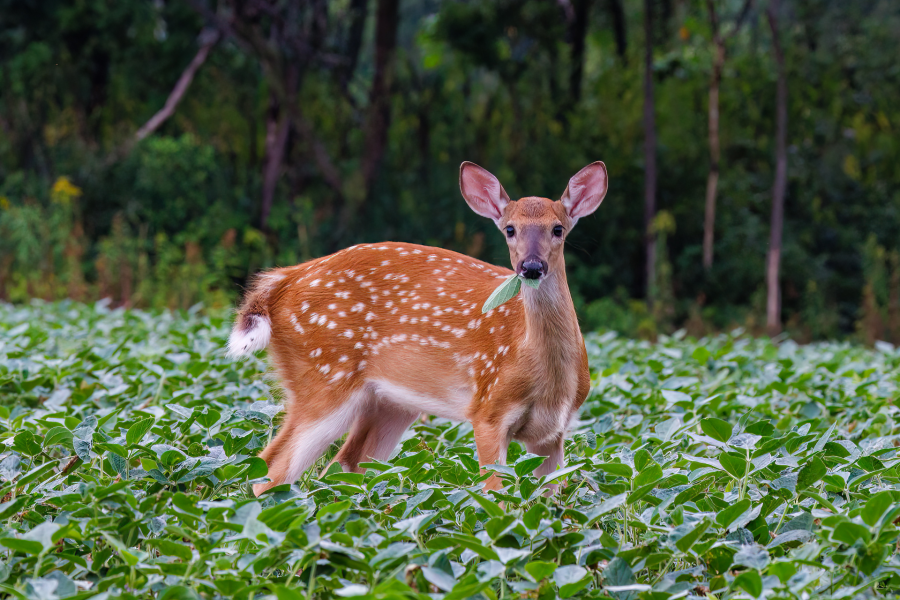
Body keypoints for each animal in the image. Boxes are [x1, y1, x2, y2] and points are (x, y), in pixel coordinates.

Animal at [230, 162, 612, 494]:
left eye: (558, 229)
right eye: (510, 229)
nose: (531, 267)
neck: (547, 377)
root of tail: (281, 282)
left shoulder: (553, 433)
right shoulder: (488, 409)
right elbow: (495, 496)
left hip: (389, 403)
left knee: (340, 467)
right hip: (324, 377)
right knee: (272, 469)